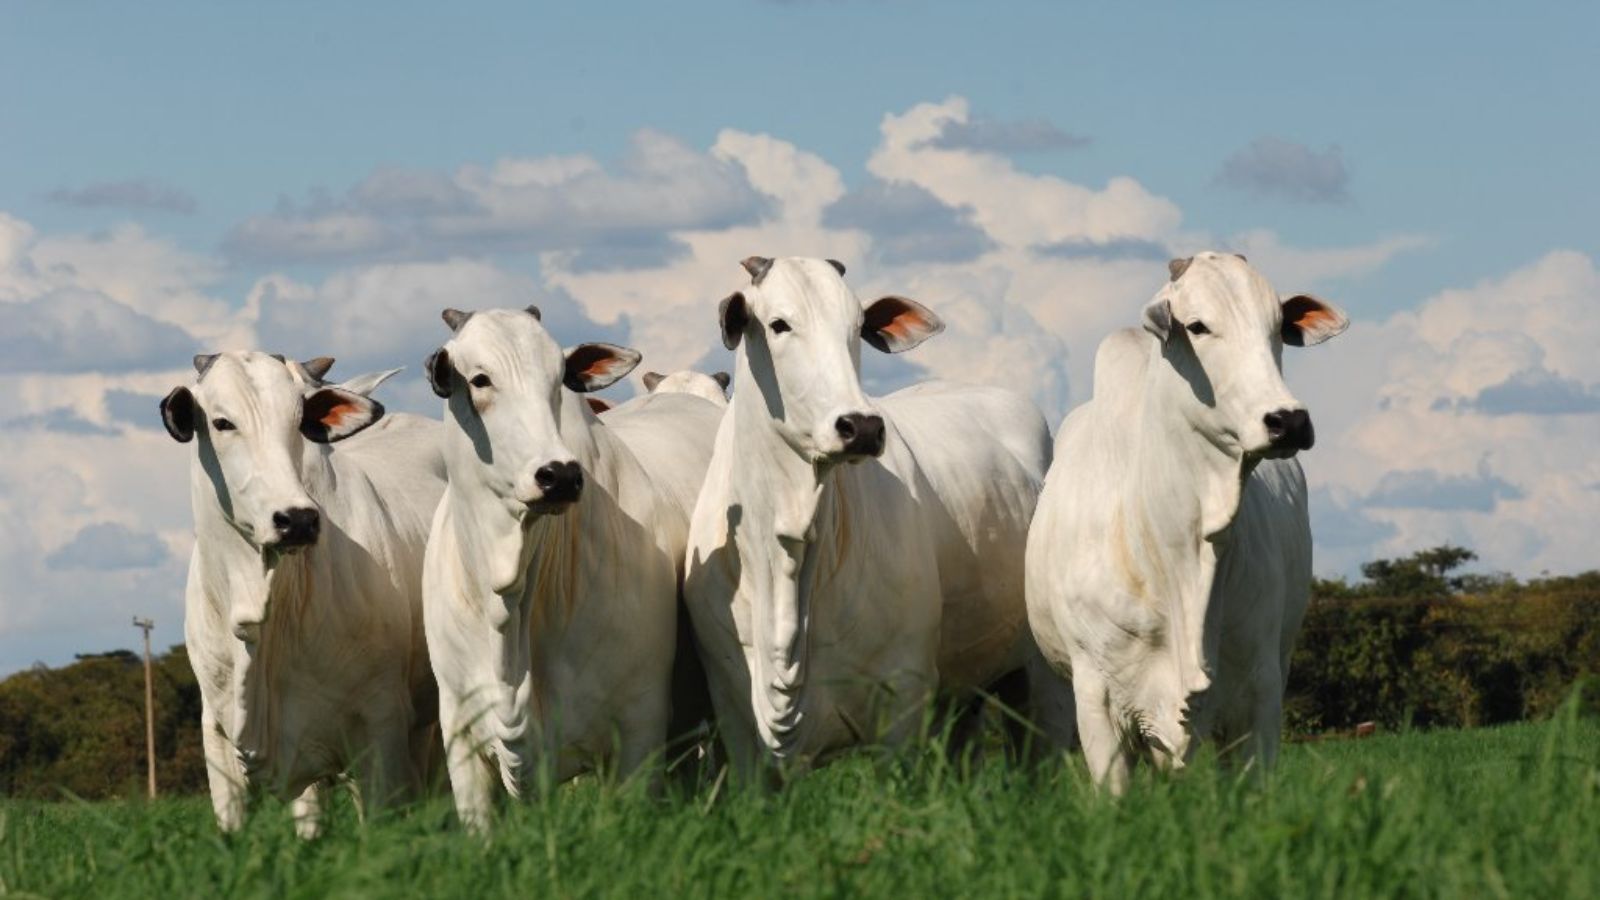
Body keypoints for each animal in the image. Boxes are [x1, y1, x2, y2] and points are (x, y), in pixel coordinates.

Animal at [681, 256, 1068, 775]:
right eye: (779, 324)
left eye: (859, 326)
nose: (861, 426)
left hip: (1042, 680)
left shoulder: (902, 698)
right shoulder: (735, 717)